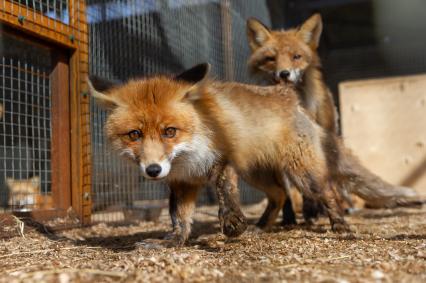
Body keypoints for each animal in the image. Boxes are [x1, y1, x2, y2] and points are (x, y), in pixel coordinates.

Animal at [89, 63, 350, 246]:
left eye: (169, 131)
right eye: (135, 134)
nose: (153, 170)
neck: (189, 156)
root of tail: (289, 98)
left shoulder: (226, 157)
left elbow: (224, 189)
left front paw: (232, 221)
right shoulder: (182, 181)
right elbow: (178, 216)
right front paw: (174, 241)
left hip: (302, 174)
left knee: (328, 191)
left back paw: (341, 225)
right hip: (256, 175)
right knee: (279, 194)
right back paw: (261, 226)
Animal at [245, 12, 422, 222]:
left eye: (296, 57)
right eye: (271, 59)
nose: (284, 74)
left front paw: (312, 211)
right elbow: (286, 190)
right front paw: (289, 218)